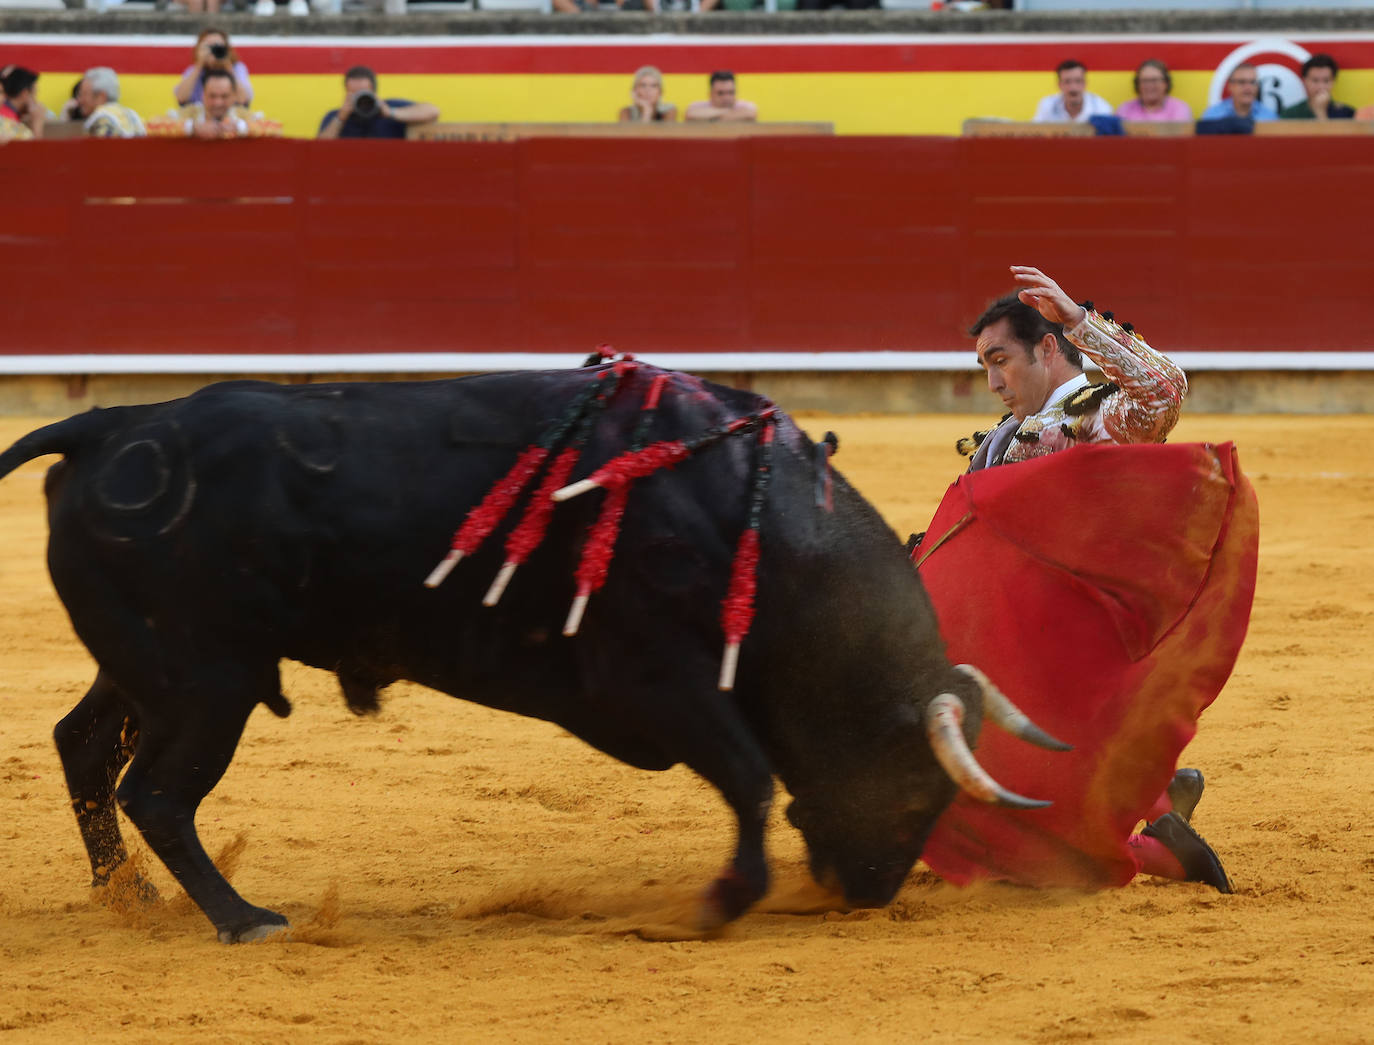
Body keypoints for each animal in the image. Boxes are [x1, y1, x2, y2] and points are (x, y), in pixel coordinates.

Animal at [0, 362, 1049, 939]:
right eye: (914, 791)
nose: (865, 895)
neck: (757, 524)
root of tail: (110, 425)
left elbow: (752, 780)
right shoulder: (659, 681)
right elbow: (752, 779)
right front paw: (718, 903)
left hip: (151, 668)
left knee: (85, 747)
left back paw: (133, 900)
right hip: (207, 680)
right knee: (155, 792)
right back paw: (245, 918)